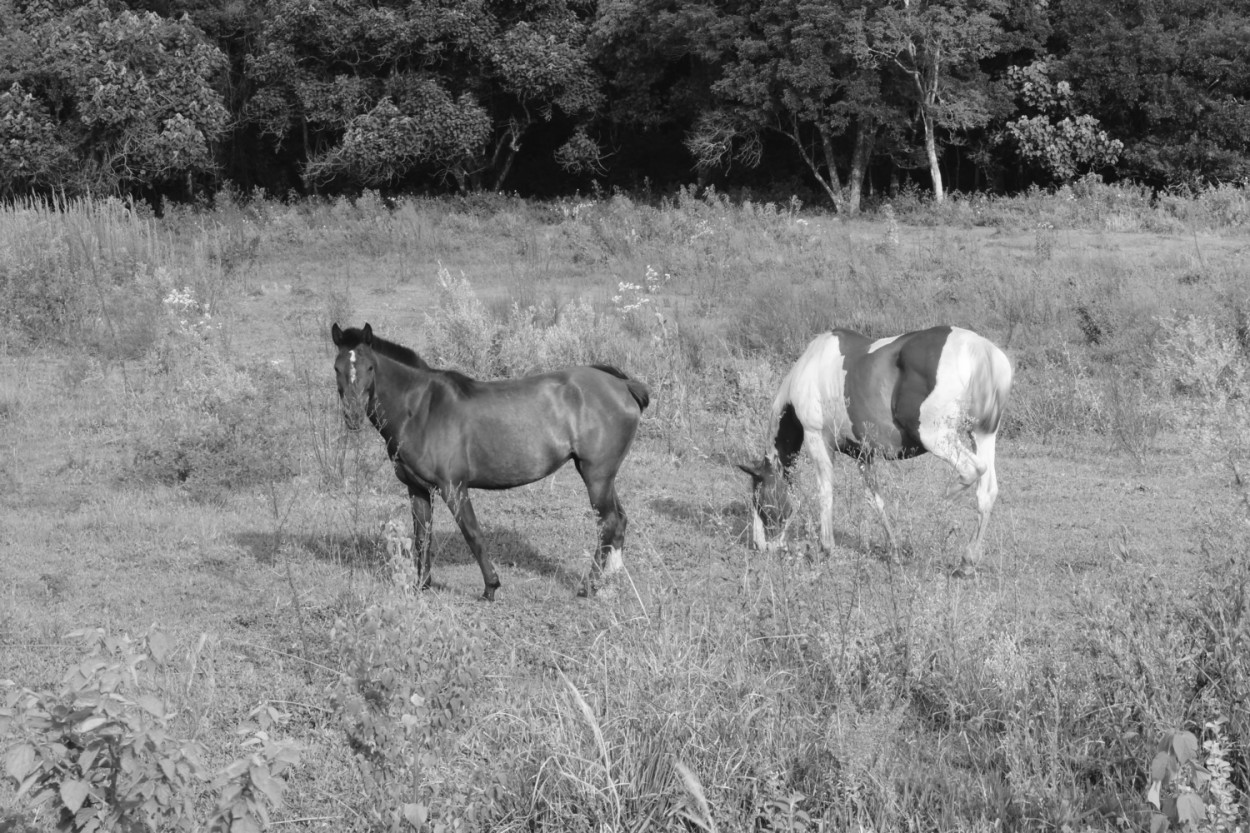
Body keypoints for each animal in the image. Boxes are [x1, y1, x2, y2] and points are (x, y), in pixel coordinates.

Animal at [332, 320, 650, 600]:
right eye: (337, 368)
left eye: (369, 367)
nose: (352, 416)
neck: (421, 409)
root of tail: (622, 385)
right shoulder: (418, 489)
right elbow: (423, 537)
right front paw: (421, 585)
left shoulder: (453, 487)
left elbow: (472, 533)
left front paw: (490, 587)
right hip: (601, 476)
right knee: (619, 522)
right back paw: (610, 585)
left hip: (596, 476)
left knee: (608, 523)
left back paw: (589, 587)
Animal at [735, 325, 1010, 570]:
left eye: (760, 502)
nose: (761, 546)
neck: (811, 366)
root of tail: (980, 349)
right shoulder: (863, 454)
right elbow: (874, 499)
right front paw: (894, 551)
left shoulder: (817, 440)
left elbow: (825, 491)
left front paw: (826, 547)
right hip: (982, 436)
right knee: (987, 491)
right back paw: (967, 561)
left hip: (936, 438)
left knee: (971, 471)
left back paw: (939, 507)